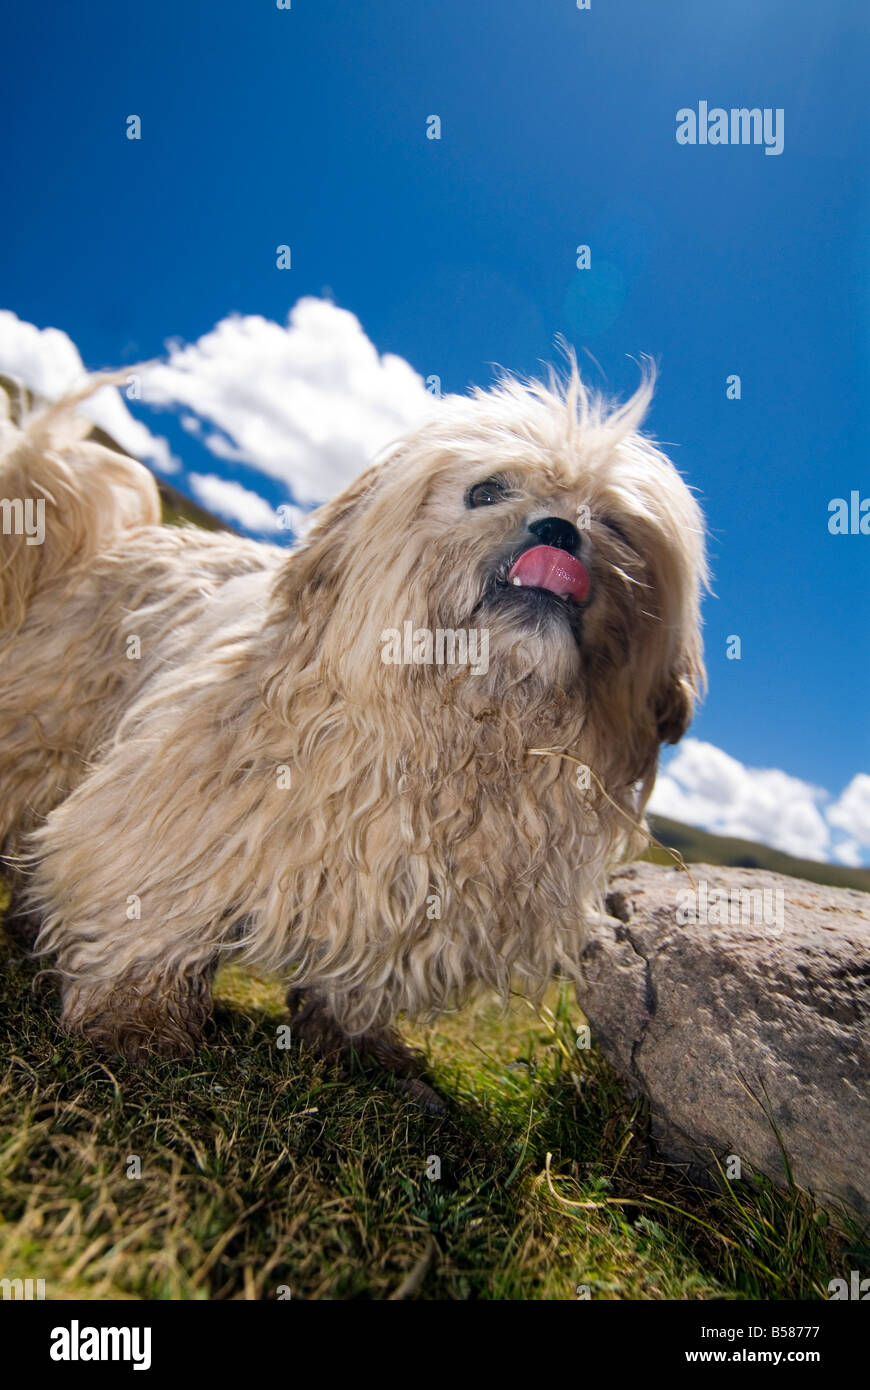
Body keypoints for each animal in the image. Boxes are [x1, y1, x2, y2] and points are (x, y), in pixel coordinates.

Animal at [0, 366, 706, 1084]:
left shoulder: (421, 902)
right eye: (487, 491)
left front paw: (352, 1039)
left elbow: (366, 980)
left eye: (614, 524)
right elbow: (146, 906)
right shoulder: (177, 806)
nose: (561, 532)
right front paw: (134, 1017)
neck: (473, 721)